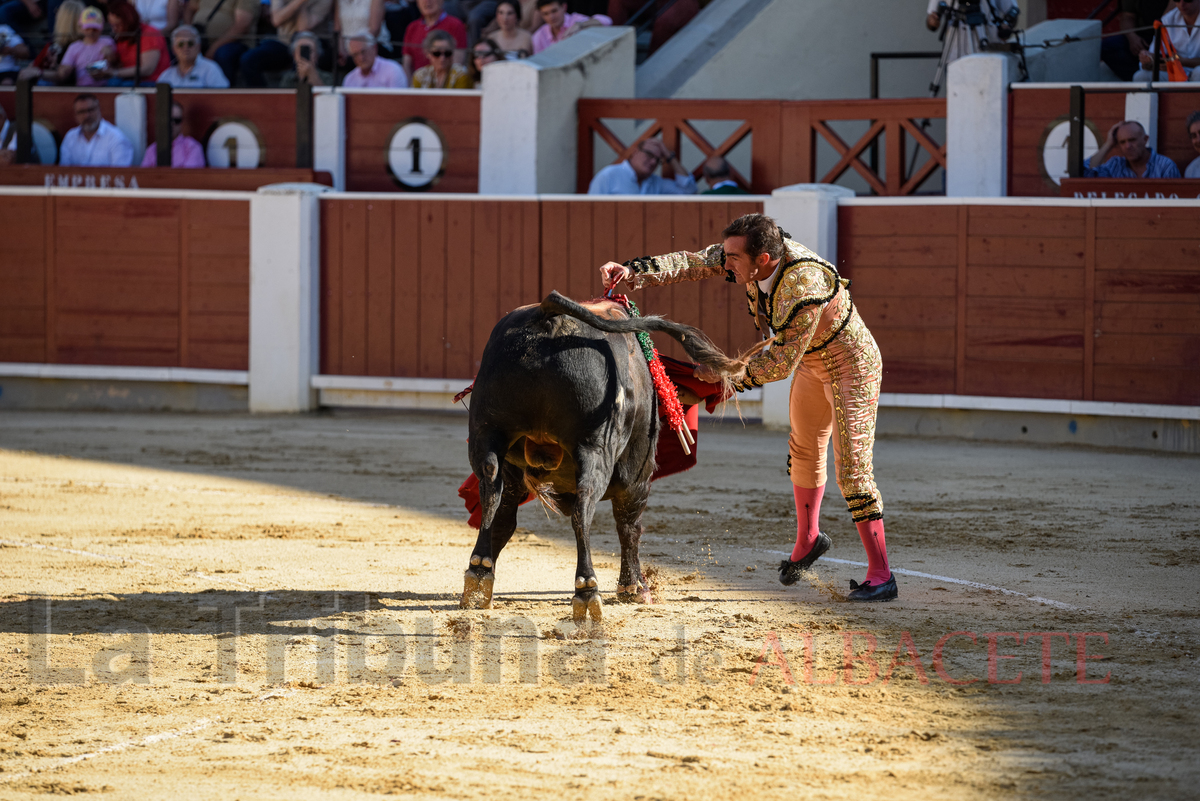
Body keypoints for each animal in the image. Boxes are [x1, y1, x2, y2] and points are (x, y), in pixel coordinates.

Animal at [460, 291, 748, 623]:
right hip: (595, 447)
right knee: (584, 508)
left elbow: (504, 518)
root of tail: (549, 315)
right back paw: (587, 589)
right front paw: (634, 587)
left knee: (491, 493)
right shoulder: (637, 477)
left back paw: (478, 575)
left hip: (488, 435)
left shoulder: (512, 469)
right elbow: (629, 527)